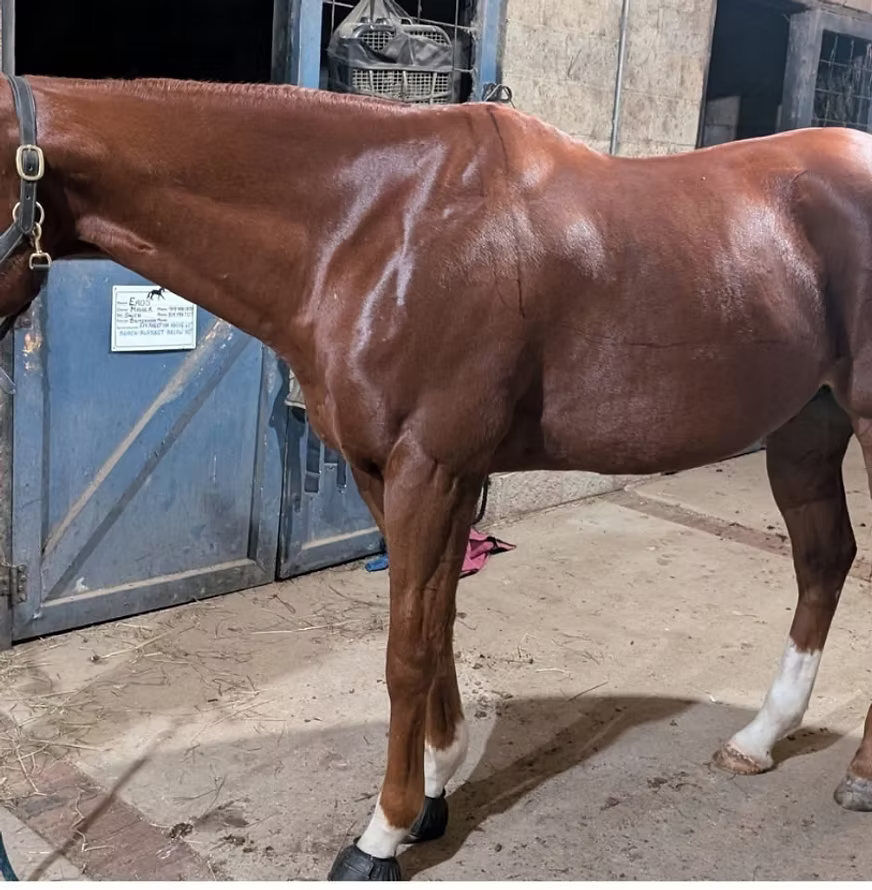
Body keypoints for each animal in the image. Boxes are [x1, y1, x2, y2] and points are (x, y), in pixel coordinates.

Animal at [1, 73, 871, 881]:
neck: (374, 228)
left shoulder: (433, 468)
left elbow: (406, 651)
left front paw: (381, 835)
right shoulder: (392, 474)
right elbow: (439, 620)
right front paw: (435, 788)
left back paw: (857, 777)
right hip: (806, 429)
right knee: (824, 559)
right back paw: (759, 738)